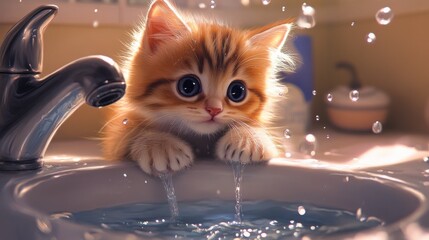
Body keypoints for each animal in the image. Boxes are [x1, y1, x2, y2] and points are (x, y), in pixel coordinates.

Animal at [103, 0, 294, 174]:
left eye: (237, 92)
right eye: (188, 86)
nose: (214, 109)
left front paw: (249, 138)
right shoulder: (117, 134)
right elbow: (131, 132)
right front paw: (159, 143)